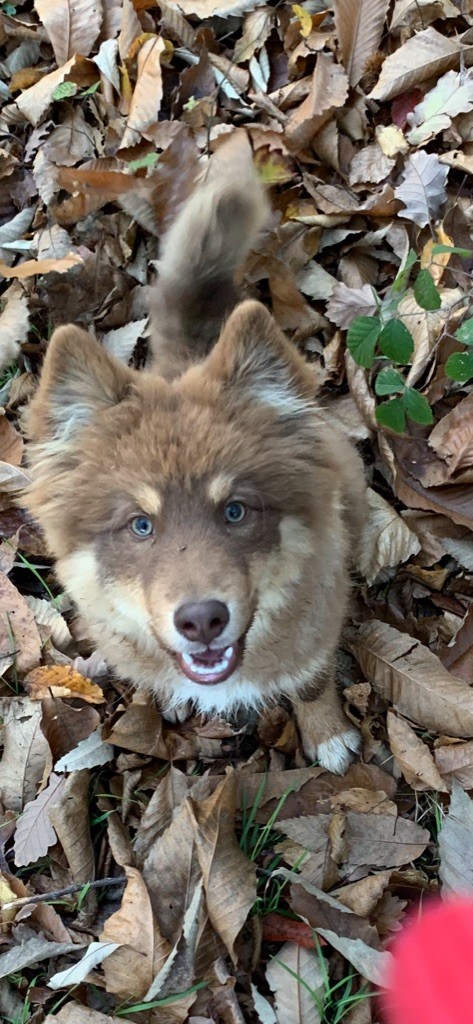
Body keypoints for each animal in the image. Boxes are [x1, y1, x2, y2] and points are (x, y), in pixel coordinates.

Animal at [23, 134, 367, 774]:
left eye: (235, 510)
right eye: (139, 525)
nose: (203, 619)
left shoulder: (316, 632)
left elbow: (312, 685)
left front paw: (328, 734)